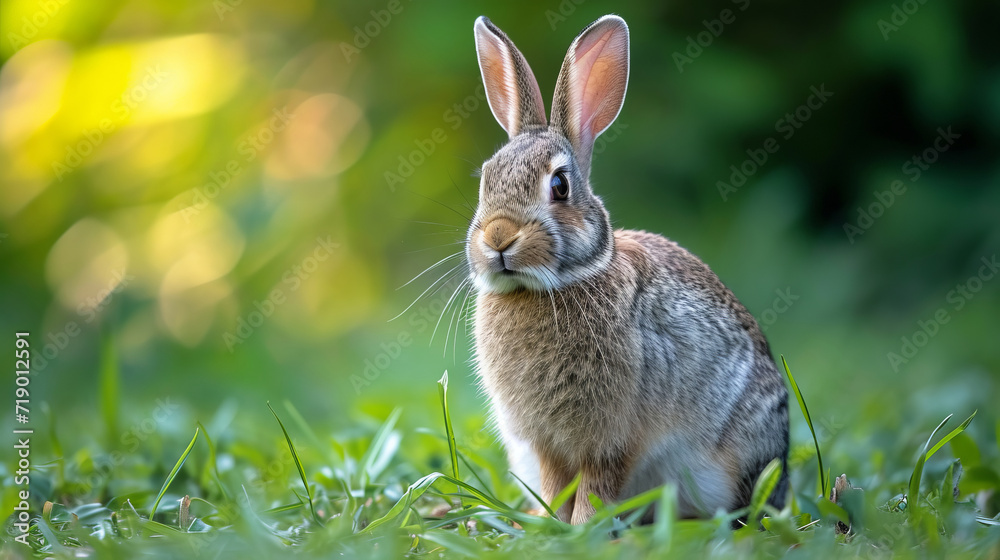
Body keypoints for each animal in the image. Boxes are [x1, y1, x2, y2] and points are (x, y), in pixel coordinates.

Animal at [466, 14, 789, 524]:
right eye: (485, 179)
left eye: (559, 185)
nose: (498, 238)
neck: (553, 285)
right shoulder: (545, 444)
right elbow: (558, 485)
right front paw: (550, 524)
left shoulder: (615, 439)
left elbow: (597, 487)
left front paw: (581, 529)